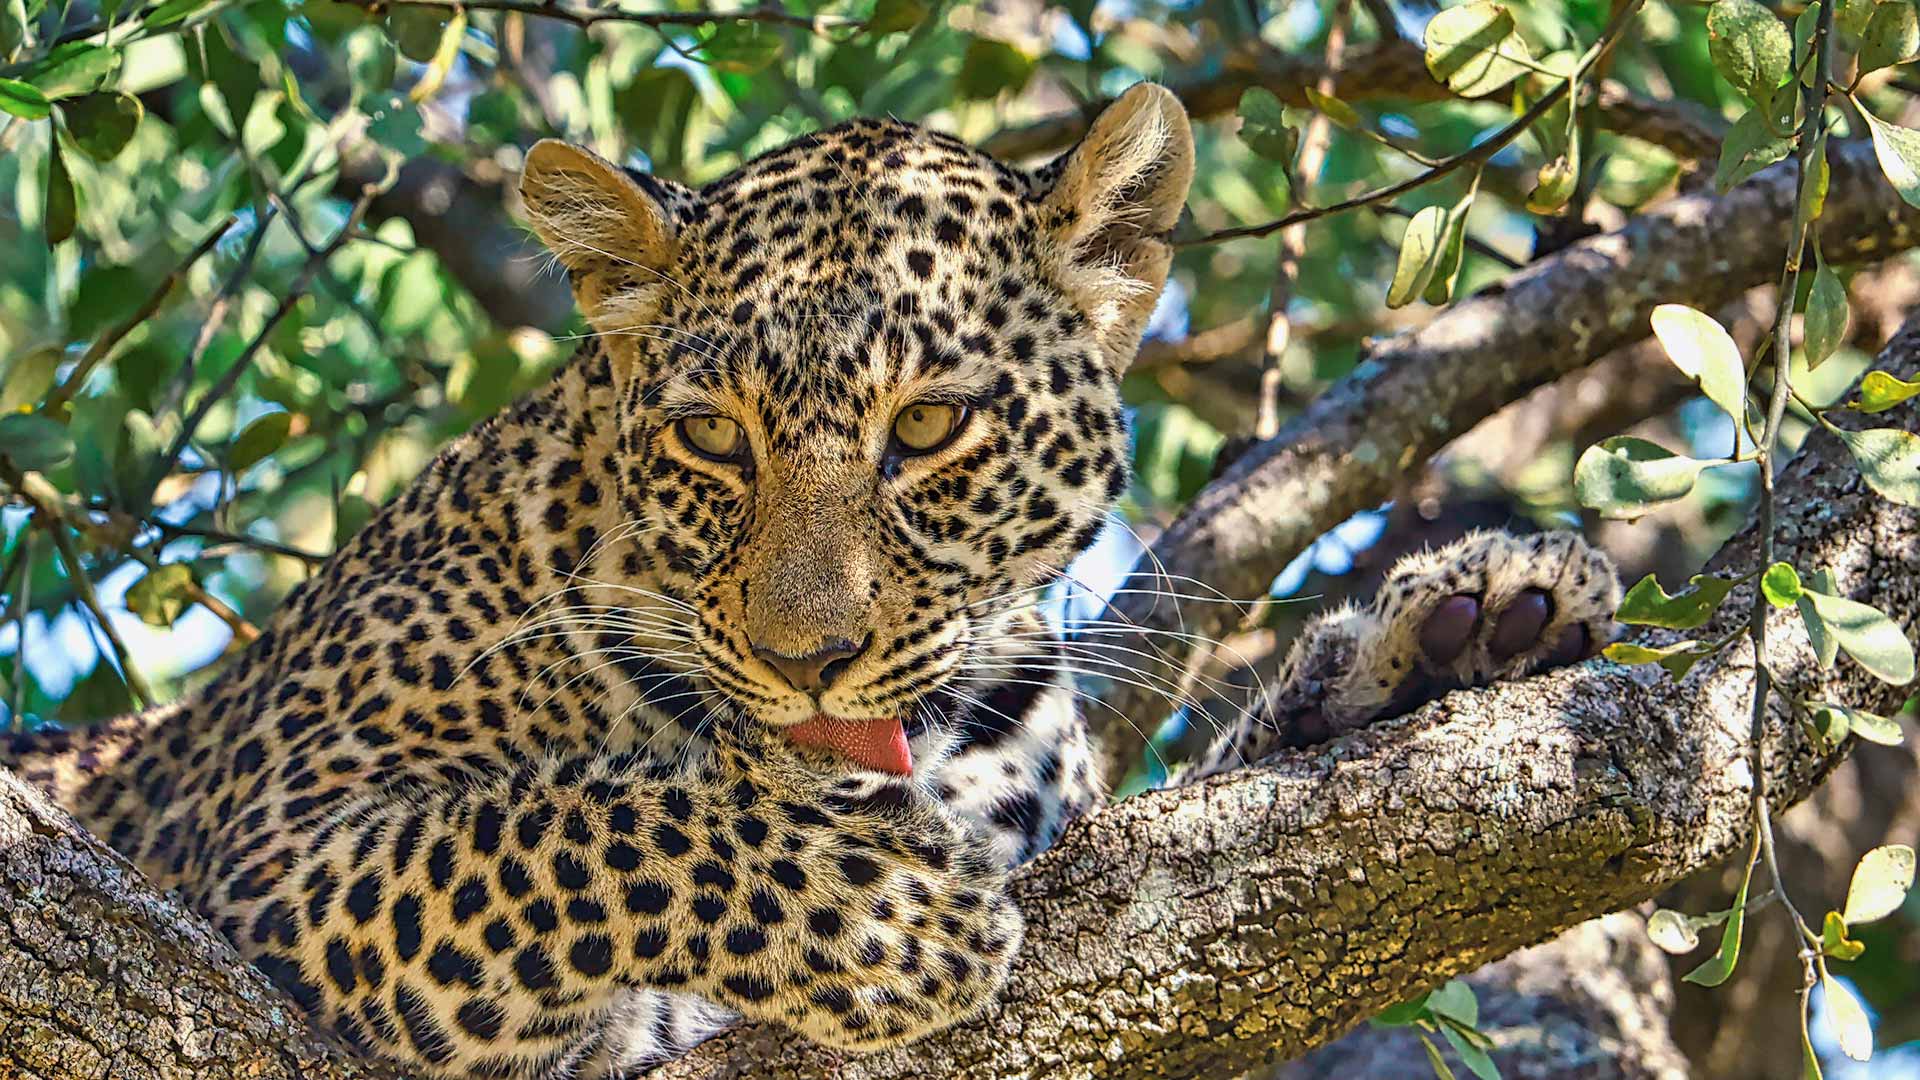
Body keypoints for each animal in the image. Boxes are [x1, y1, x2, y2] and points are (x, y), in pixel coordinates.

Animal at [3, 83, 1620, 1078]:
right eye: (715, 437)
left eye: (931, 427)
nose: (808, 658)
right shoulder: (278, 849)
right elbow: (559, 832)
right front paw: (891, 917)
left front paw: (1453, 637)